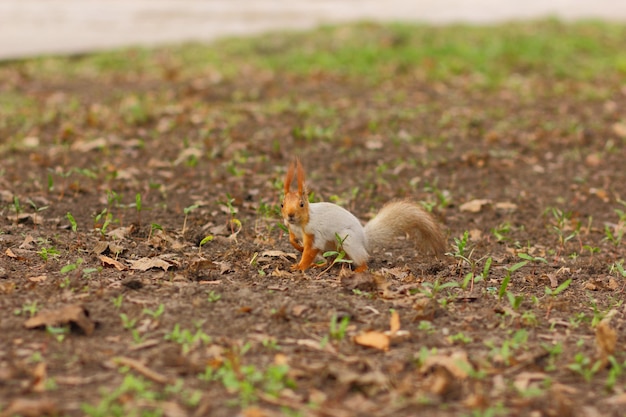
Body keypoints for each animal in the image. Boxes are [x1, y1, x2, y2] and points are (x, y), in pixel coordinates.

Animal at [280, 158, 446, 272]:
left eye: (302, 204)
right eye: (282, 204)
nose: (290, 215)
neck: (299, 224)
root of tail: (364, 238)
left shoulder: (315, 234)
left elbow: (310, 251)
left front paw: (300, 266)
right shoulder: (291, 228)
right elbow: (292, 239)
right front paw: (297, 246)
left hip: (347, 240)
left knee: (363, 259)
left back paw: (359, 269)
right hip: (329, 249)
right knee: (332, 261)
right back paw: (320, 265)